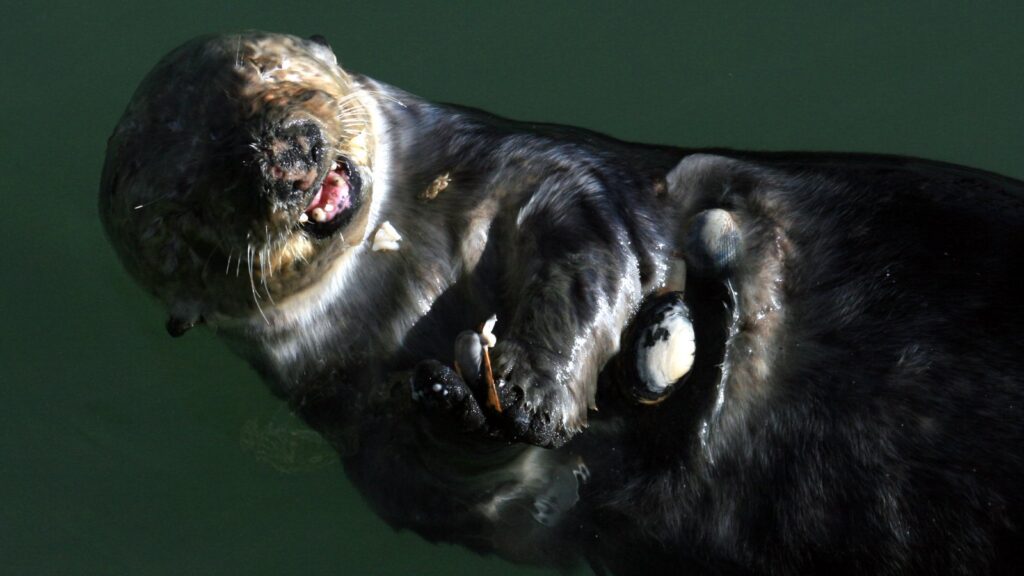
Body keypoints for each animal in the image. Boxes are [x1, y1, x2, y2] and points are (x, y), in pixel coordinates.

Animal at [101, 32, 1024, 575]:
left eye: (270, 75)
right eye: (189, 191)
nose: (283, 155)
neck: (400, 266)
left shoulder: (523, 168)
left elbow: (585, 239)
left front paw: (534, 385)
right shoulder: (352, 417)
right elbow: (461, 478)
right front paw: (452, 396)